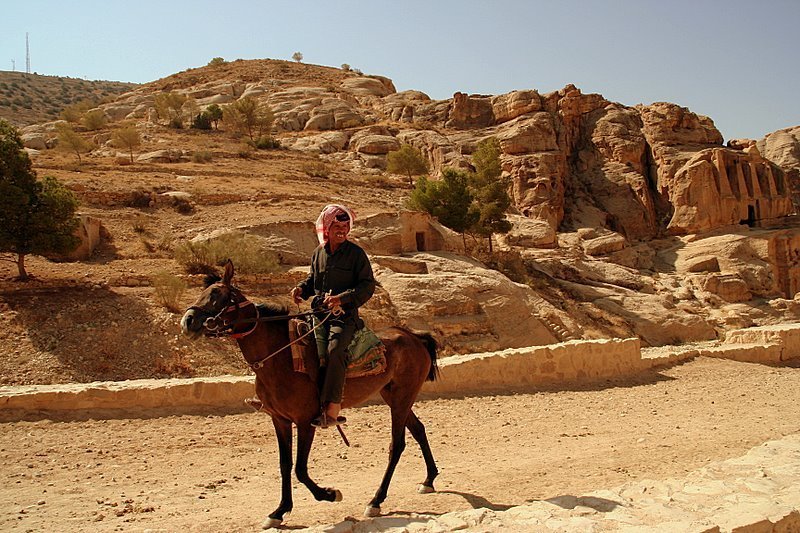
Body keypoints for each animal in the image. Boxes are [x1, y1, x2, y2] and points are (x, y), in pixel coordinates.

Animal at [179, 260, 440, 524]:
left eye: (218, 295)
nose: (188, 321)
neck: (280, 357)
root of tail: (414, 337)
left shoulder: (306, 421)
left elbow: (300, 469)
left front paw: (330, 494)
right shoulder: (280, 420)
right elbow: (285, 464)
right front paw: (279, 511)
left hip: (402, 398)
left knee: (396, 444)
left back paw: (376, 500)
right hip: (394, 397)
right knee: (418, 429)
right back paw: (428, 480)